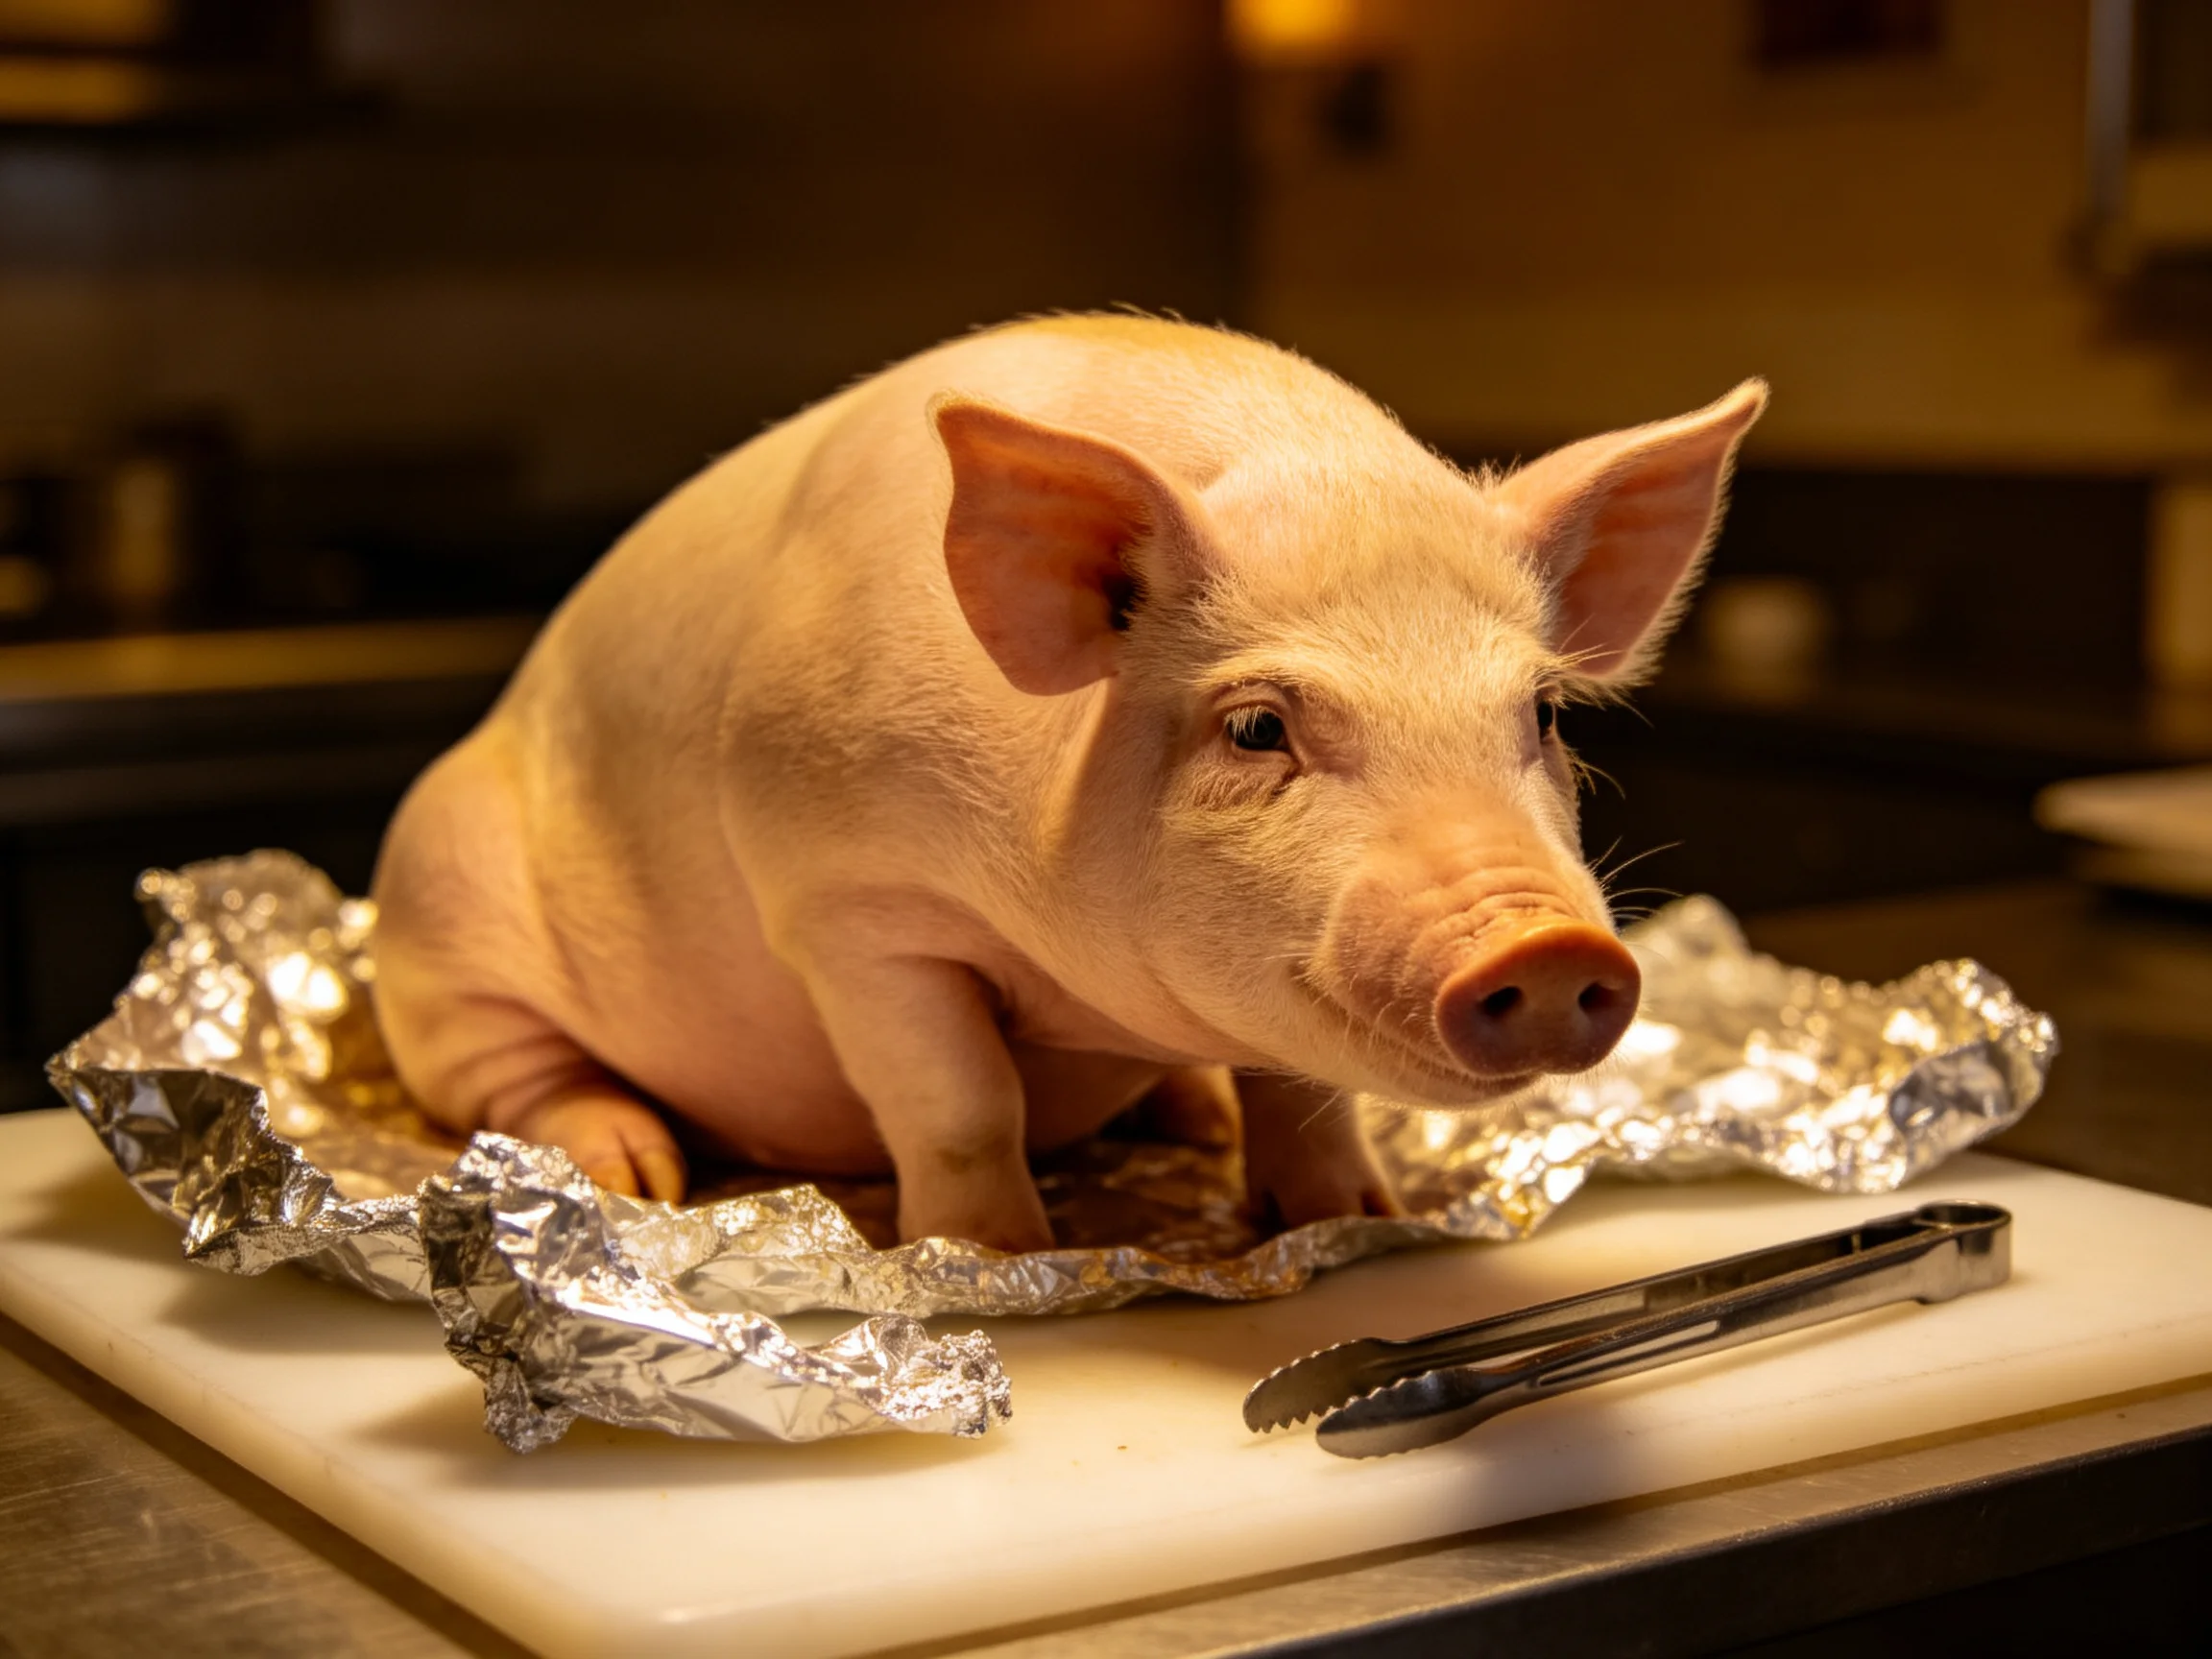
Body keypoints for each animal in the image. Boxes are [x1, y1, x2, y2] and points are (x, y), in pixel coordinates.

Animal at [370, 315, 1764, 1252]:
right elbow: (958, 1099)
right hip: (440, 910)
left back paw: (1193, 1124)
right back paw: (636, 1176)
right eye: (1257, 727)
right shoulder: (850, 903)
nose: (1543, 945)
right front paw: (992, 1258)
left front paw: (1354, 1219)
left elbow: (1302, 1094)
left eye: (1541, 712)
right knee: (521, 1075)